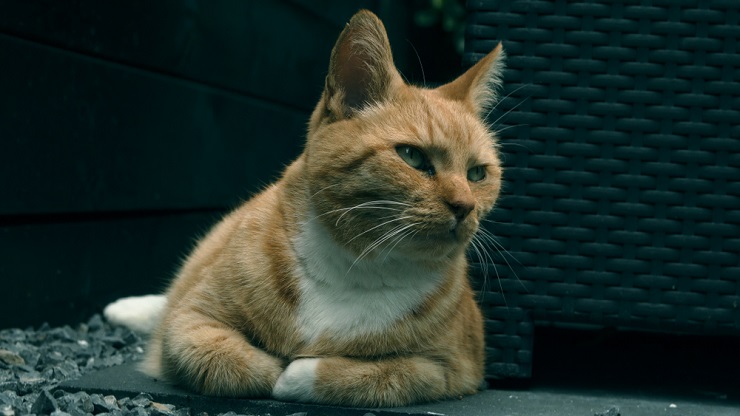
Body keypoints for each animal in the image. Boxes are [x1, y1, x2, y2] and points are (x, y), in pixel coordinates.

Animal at [104, 8, 506, 406]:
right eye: (412, 156)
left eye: (476, 173)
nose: (465, 206)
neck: (358, 267)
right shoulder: (190, 321)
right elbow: (228, 360)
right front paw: (271, 366)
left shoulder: (452, 369)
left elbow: (379, 376)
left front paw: (296, 373)